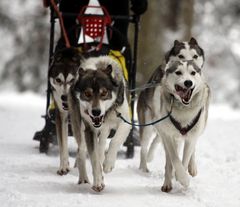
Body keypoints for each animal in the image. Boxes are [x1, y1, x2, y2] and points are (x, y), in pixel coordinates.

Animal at [48, 47, 81, 175]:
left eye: (72, 80)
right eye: (58, 80)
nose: (65, 97)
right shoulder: (61, 117)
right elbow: (63, 145)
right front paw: (63, 167)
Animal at [71, 55, 131, 192]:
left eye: (104, 93)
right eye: (87, 94)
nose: (96, 112)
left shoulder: (126, 123)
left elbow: (114, 141)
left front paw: (108, 164)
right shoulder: (89, 130)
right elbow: (94, 159)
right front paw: (98, 182)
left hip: (105, 130)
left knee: (102, 145)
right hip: (80, 129)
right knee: (81, 151)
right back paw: (84, 179)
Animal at [139, 38, 204, 174]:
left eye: (195, 56)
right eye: (181, 56)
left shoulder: (193, 125)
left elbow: (191, 147)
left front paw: (191, 166)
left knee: (157, 140)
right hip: (147, 125)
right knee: (145, 146)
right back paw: (144, 167)